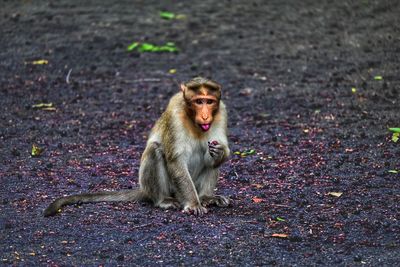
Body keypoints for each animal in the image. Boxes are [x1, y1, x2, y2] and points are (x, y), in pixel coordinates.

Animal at [43, 76, 231, 218]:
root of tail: (144, 189)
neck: (193, 122)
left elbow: (217, 153)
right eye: (199, 101)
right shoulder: (175, 113)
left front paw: (220, 152)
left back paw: (206, 197)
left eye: (209, 102)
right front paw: (193, 204)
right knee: (155, 150)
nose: (205, 116)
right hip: (164, 188)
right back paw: (163, 200)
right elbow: (176, 161)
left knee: (212, 163)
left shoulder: (222, 112)